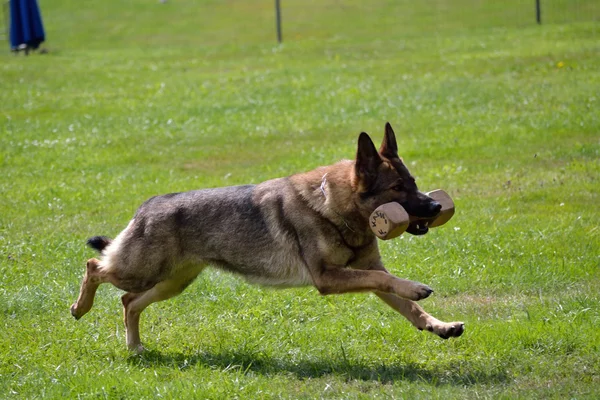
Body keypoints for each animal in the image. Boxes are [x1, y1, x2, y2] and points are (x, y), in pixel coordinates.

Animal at [70, 122, 464, 354]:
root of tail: (147, 205)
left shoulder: (364, 271)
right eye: (397, 189)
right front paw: (415, 287)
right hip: (141, 271)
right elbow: (389, 281)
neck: (335, 207)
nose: (435, 205)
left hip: (171, 283)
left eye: (413, 182)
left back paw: (134, 346)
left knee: (128, 302)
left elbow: (407, 304)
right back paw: (81, 308)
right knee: (94, 266)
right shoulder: (329, 278)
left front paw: (438, 325)